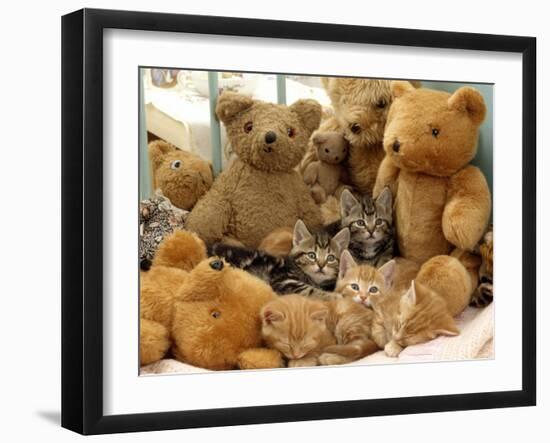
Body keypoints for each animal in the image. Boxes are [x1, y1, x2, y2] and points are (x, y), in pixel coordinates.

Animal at [209, 219, 352, 302]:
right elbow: (311, 290)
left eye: (330, 258)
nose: (321, 266)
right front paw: (337, 297)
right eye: (312, 255)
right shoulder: (285, 281)